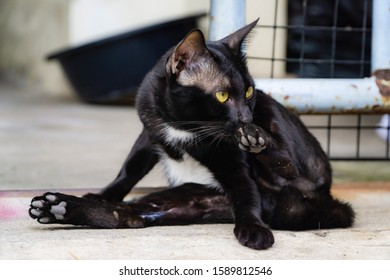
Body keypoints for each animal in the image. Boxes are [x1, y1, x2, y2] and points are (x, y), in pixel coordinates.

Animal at [29, 19, 354, 249]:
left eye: (248, 91)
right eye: (222, 95)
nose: (246, 117)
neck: (185, 125)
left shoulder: (233, 161)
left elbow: (246, 195)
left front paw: (253, 229)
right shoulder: (149, 133)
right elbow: (128, 170)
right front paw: (100, 194)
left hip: (277, 122)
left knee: (288, 165)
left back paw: (258, 141)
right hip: (178, 202)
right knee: (127, 216)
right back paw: (58, 207)